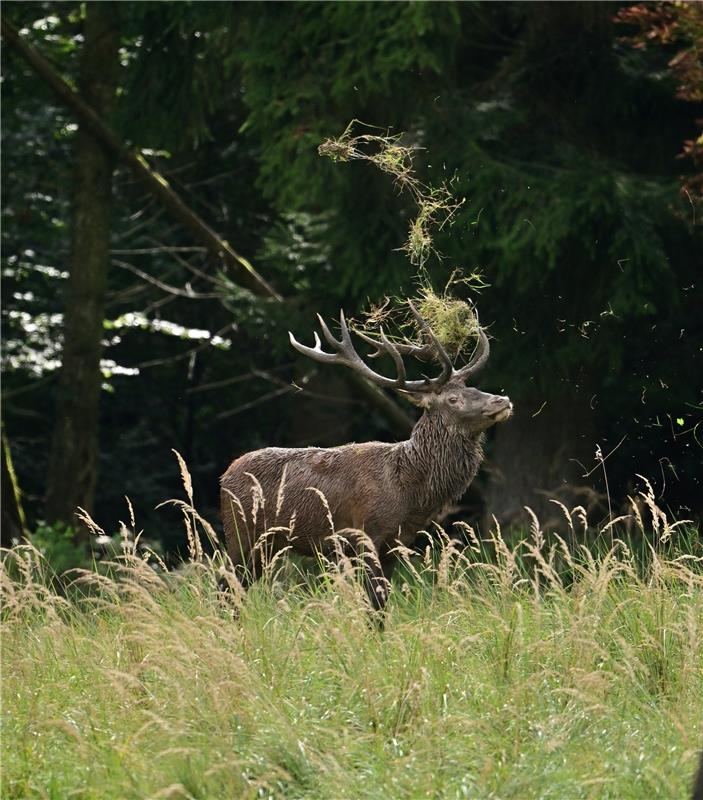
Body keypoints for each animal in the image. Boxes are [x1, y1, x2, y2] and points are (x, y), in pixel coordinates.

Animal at [220, 304, 512, 612]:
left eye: (474, 389)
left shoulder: (398, 544)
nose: (502, 400)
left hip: (267, 545)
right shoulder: (367, 534)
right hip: (240, 533)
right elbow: (374, 603)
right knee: (225, 586)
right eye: (453, 399)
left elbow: (381, 605)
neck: (411, 491)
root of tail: (225, 475)